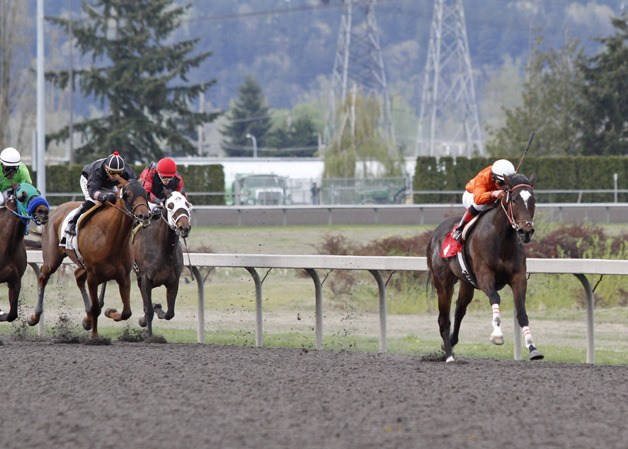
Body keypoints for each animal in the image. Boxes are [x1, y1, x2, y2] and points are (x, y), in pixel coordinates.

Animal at [28, 177, 151, 338]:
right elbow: (96, 308)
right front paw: (95, 336)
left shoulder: (123, 277)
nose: (144, 216)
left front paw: (110, 312)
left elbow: (126, 312)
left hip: (82, 264)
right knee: (43, 275)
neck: (110, 236)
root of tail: (55, 211)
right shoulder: (93, 276)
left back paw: (87, 320)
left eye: (146, 193)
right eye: (127, 195)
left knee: (77, 276)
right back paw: (34, 316)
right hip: (52, 259)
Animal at [132, 190, 191, 336]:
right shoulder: (146, 279)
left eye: (187, 204)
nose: (184, 227)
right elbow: (149, 312)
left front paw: (158, 308)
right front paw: (149, 335)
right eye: (170, 205)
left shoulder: (173, 281)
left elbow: (170, 313)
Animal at [426, 173, 544, 362]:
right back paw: (449, 356)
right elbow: (495, 298)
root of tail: (434, 235)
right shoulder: (485, 276)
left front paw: (532, 347)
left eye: (533, 200)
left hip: (466, 283)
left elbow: (521, 312)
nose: (526, 232)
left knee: (460, 309)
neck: (501, 239)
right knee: (443, 319)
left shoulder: (518, 278)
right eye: (514, 200)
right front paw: (497, 335)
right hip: (443, 283)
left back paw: (450, 343)